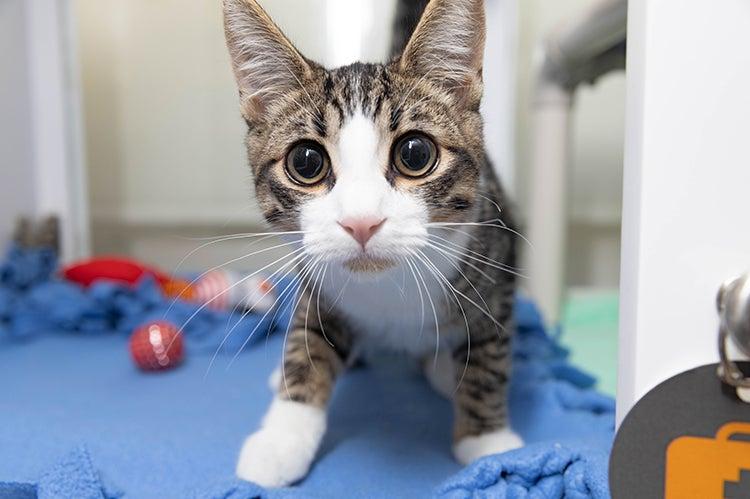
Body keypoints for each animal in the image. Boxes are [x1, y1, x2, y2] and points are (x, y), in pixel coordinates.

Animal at [225, 0, 524, 488]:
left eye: (415, 154)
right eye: (305, 162)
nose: (361, 222)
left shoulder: (495, 255)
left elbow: (488, 350)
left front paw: (487, 441)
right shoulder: (315, 277)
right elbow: (306, 345)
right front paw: (282, 438)